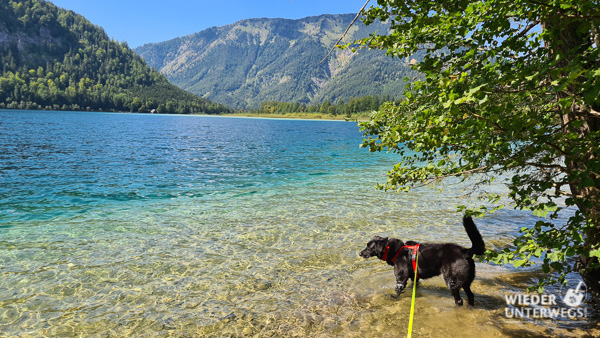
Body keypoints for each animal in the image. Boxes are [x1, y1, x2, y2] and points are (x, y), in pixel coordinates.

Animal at [358, 217, 486, 306]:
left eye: (369, 247)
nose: (360, 253)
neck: (398, 250)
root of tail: (465, 251)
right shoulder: (414, 277)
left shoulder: (400, 279)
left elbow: (397, 291)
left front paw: (393, 298)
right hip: (465, 282)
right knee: (471, 296)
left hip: (452, 281)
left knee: (459, 300)